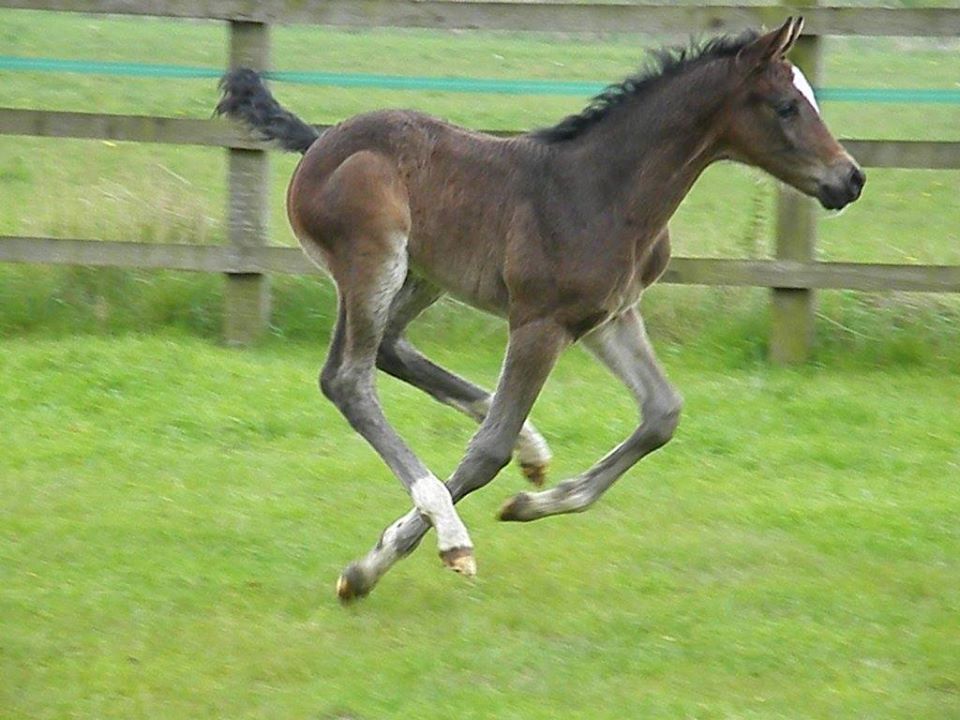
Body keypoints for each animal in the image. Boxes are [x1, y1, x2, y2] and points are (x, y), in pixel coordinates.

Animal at [216, 18, 864, 600]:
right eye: (786, 106)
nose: (850, 178)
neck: (604, 191)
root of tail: (320, 141)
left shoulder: (610, 316)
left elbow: (662, 414)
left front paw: (529, 503)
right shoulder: (540, 323)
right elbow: (486, 452)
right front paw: (379, 564)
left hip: (423, 275)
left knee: (389, 351)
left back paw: (531, 451)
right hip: (374, 261)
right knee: (348, 379)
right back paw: (445, 520)